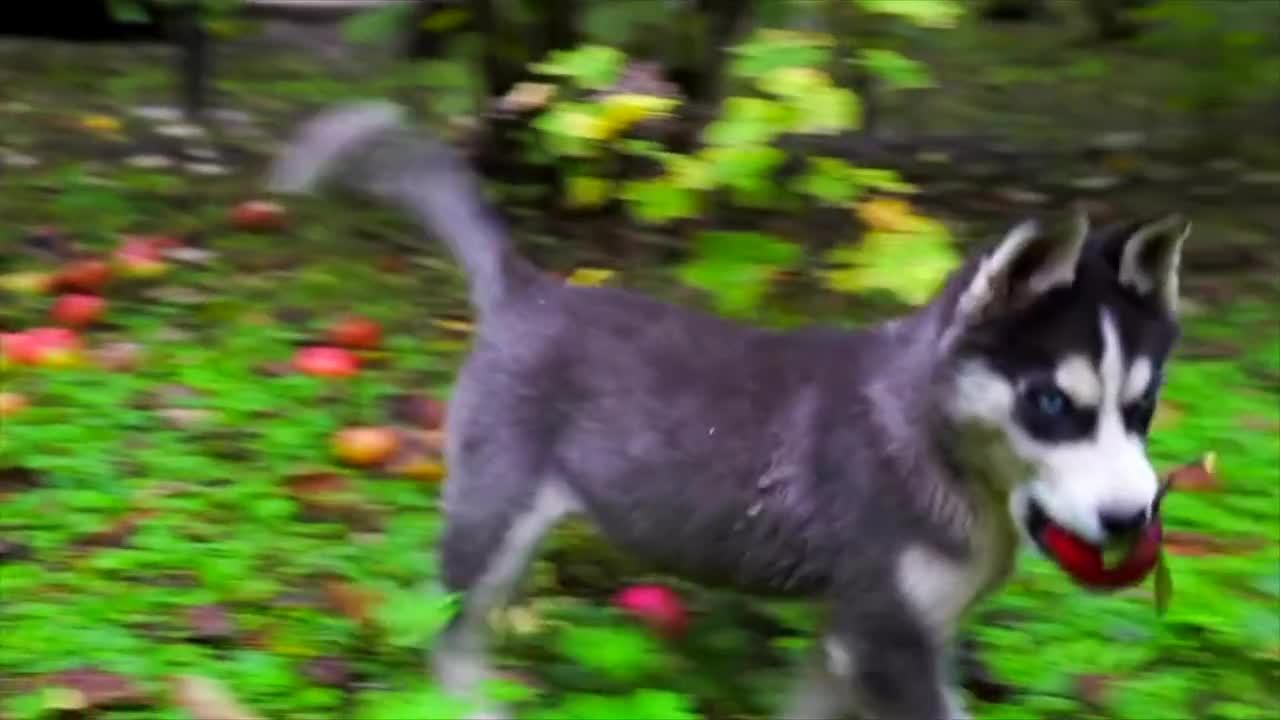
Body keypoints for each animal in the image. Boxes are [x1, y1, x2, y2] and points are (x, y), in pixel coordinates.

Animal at [270, 102, 1187, 717]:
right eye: (1050, 402)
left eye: (1142, 407)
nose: (1130, 518)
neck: (935, 446)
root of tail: (527, 288)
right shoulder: (888, 638)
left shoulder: (852, 633)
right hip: (494, 521)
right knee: (450, 636)